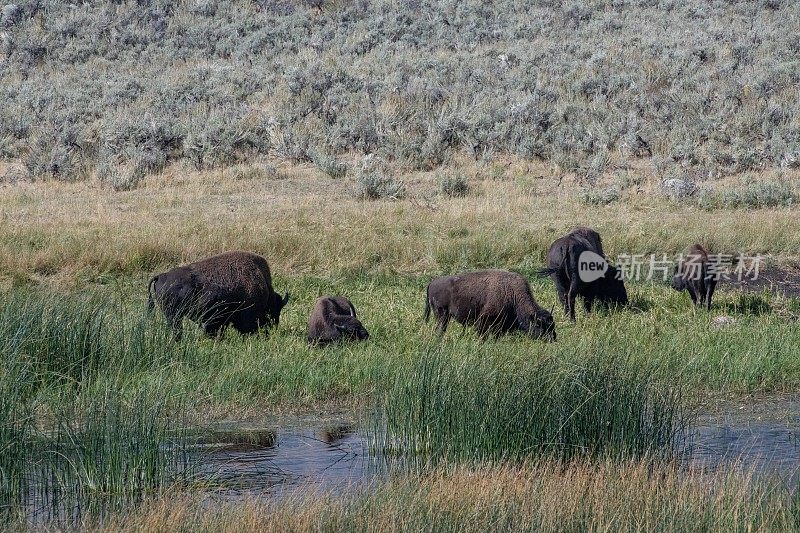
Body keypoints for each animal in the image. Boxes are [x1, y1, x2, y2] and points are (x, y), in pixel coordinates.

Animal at [424, 270, 556, 340]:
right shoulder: (485, 320)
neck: (513, 295)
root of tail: (432, 282)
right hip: (442, 314)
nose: (552, 339)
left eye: (552, 325)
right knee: (440, 329)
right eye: (539, 325)